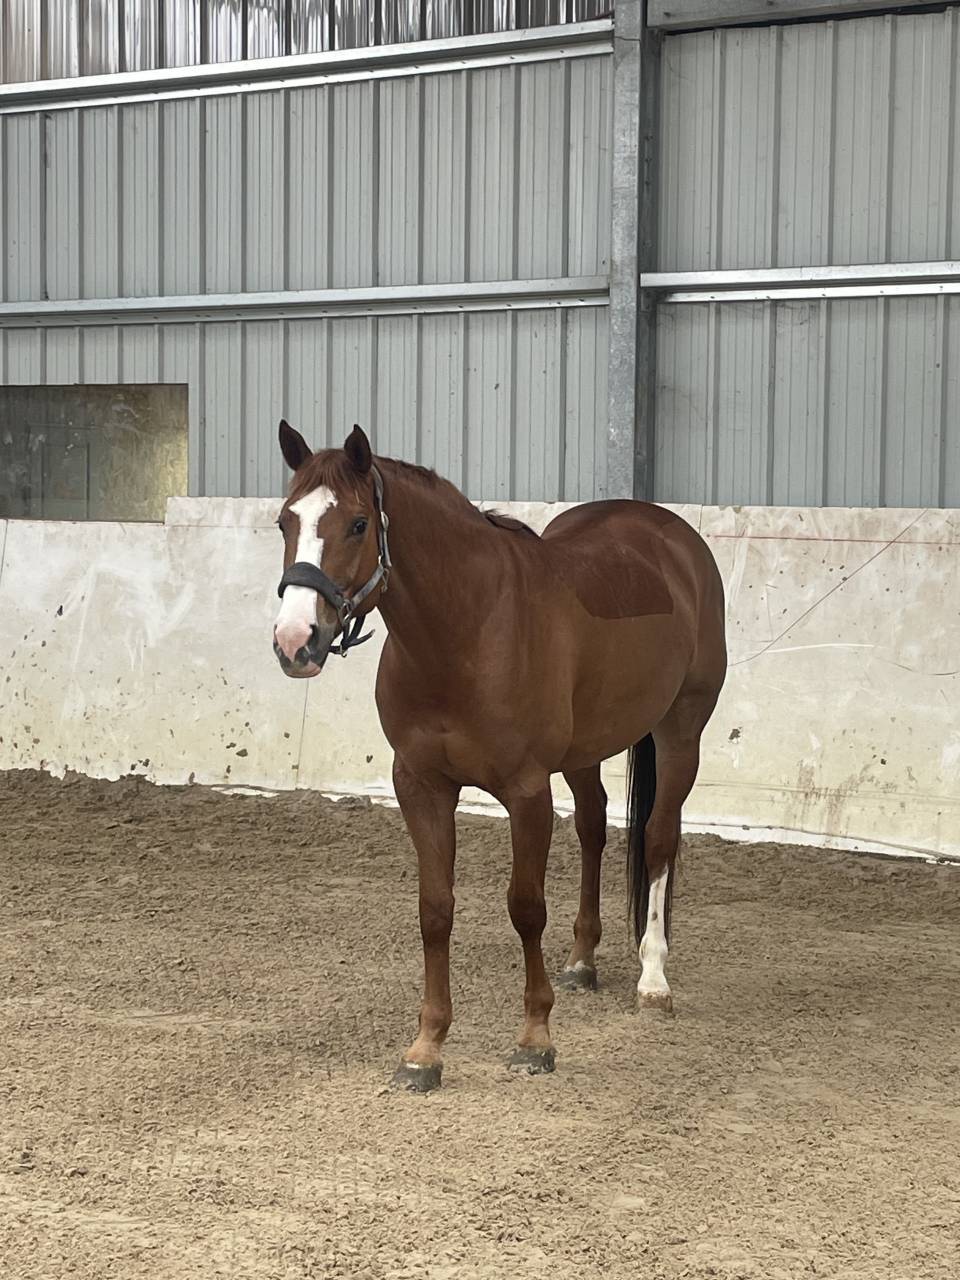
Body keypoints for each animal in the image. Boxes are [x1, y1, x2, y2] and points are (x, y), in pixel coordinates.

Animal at [272, 421, 727, 1092]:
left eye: (357, 524)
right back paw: (582, 960)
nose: (295, 641)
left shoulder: (526, 791)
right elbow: (435, 910)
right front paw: (426, 1048)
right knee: (593, 826)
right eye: (285, 521)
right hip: (585, 750)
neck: (466, 631)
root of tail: (672, 535)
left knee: (660, 837)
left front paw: (535, 1039)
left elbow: (526, 908)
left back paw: (653, 981)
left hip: (680, 729)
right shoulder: (421, 784)